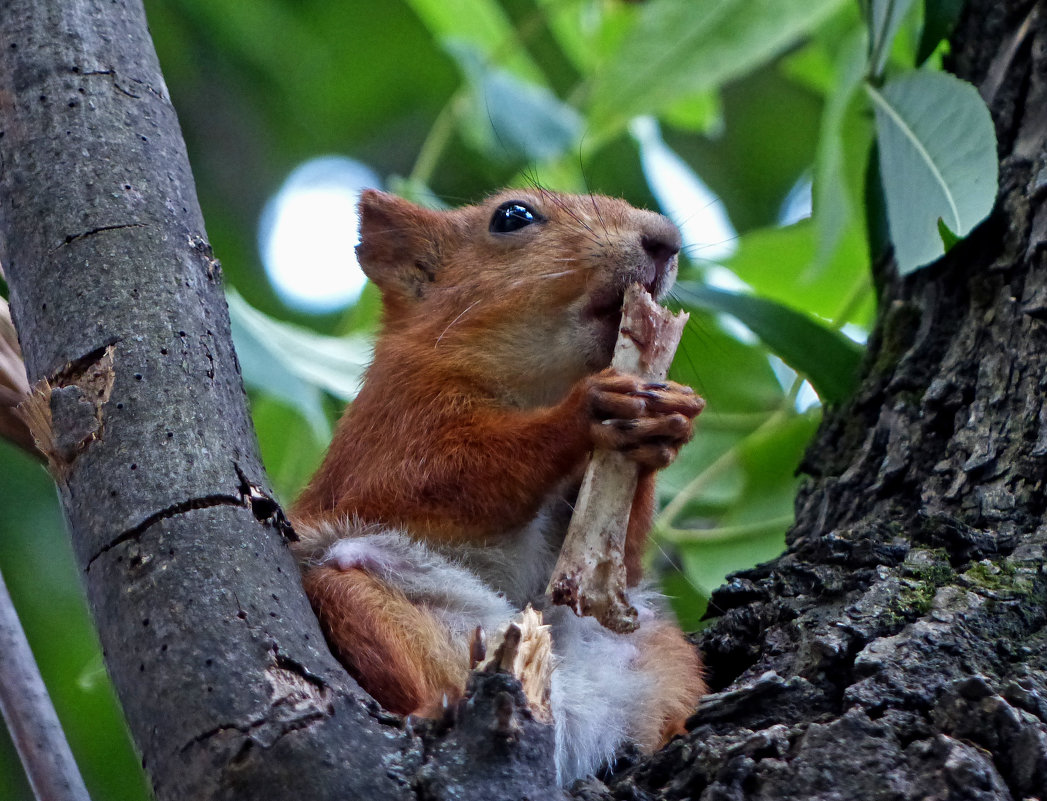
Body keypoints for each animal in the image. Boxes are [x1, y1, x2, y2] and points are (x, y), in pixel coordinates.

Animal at [291, 187, 707, 783]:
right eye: (512, 216)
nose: (666, 240)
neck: (537, 386)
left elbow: (621, 562)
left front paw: (672, 419)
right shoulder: (389, 433)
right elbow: (450, 478)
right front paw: (584, 410)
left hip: (662, 653)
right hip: (360, 593)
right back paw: (434, 709)